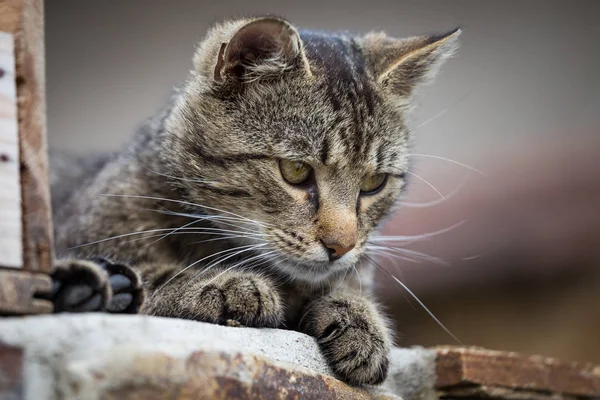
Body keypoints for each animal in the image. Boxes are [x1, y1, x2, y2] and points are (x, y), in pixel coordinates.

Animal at [49, 16, 460, 384]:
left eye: (374, 182)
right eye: (295, 169)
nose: (340, 246)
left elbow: (350, 286)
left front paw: (361, 321)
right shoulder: (83, 234)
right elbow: (151, 274)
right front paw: (226, 285)